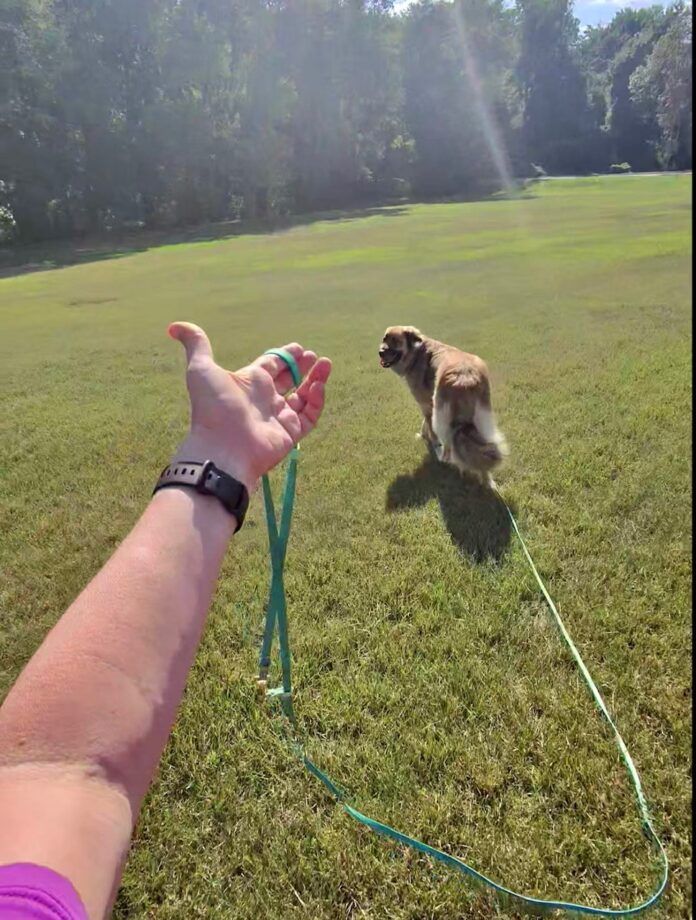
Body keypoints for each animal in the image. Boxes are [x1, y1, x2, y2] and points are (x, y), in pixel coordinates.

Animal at [380, 326, 506, 486]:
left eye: (395, 341)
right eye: (384, 339)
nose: (380, 352)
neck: (416, 353)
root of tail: (465, 378)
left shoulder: (427, 405)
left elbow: (429, 428)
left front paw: (429, 440)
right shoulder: (429, 404)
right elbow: (425, 424)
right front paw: (422, 435)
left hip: (442, 417)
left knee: (449, 443)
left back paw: (445, 459)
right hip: (483, 419)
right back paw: (488, 481)